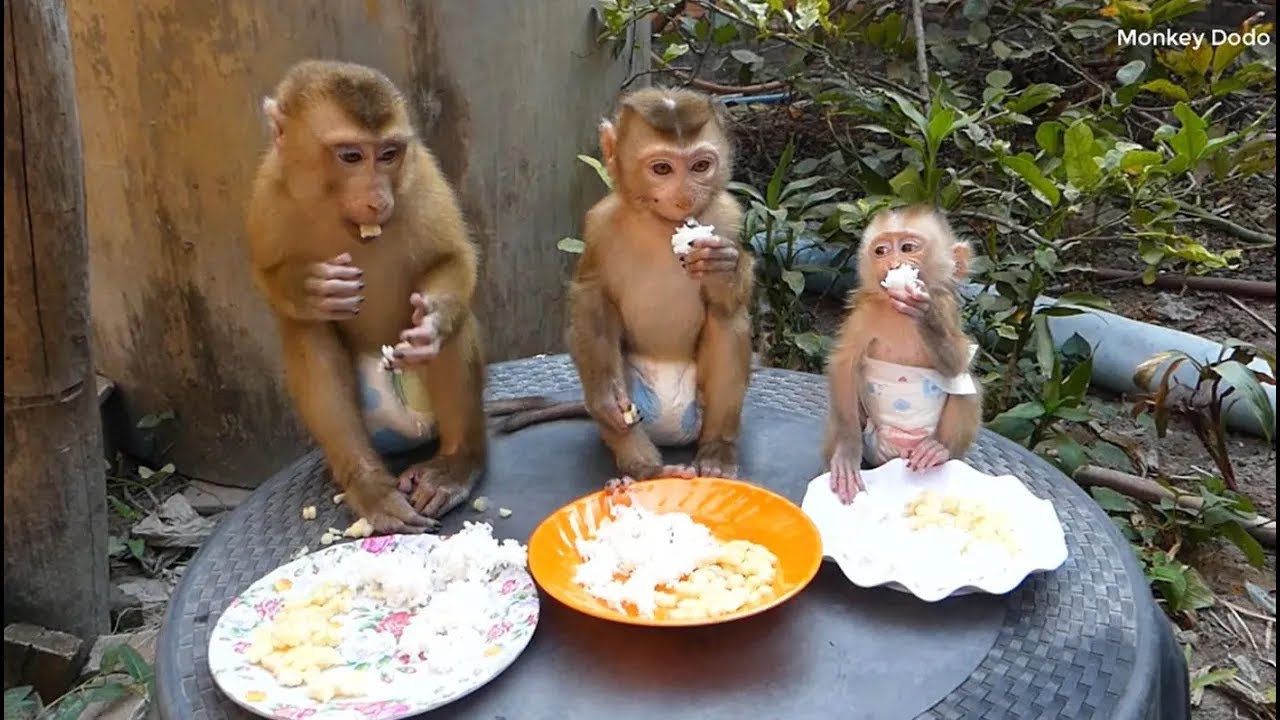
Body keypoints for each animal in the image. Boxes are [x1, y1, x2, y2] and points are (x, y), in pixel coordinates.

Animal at [246, 59, 488, 535]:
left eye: (389, 154)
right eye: (351, 156)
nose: (377, 200)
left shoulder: (421, 176)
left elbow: (453, 257)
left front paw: (430, 324)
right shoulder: (266, 192)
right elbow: (267, 278)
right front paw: (311, 286)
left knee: (457, 326)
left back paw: (455, 466)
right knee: (309, 334)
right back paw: (370, 487)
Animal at [541, 87, 755, 483]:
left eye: (700, 166)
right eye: (662, 169)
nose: (685, 198)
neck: (660, 224)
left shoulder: (728, 216)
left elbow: (732, 300)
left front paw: (724, 267)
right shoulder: (600, 225)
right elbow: (592, 297)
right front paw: (604, 392)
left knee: (728, 320)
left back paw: (716, 451)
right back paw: (647, 468)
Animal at [823, 205, 983, 504]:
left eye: (908, 247)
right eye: (881, 251)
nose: (893, 262)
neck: (898, 312)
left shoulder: (946, 305)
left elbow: (957, 365)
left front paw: (925, 316)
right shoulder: (866, 313)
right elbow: (844, 365)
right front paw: (848, 451)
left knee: (967, 390)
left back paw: (938, 450)